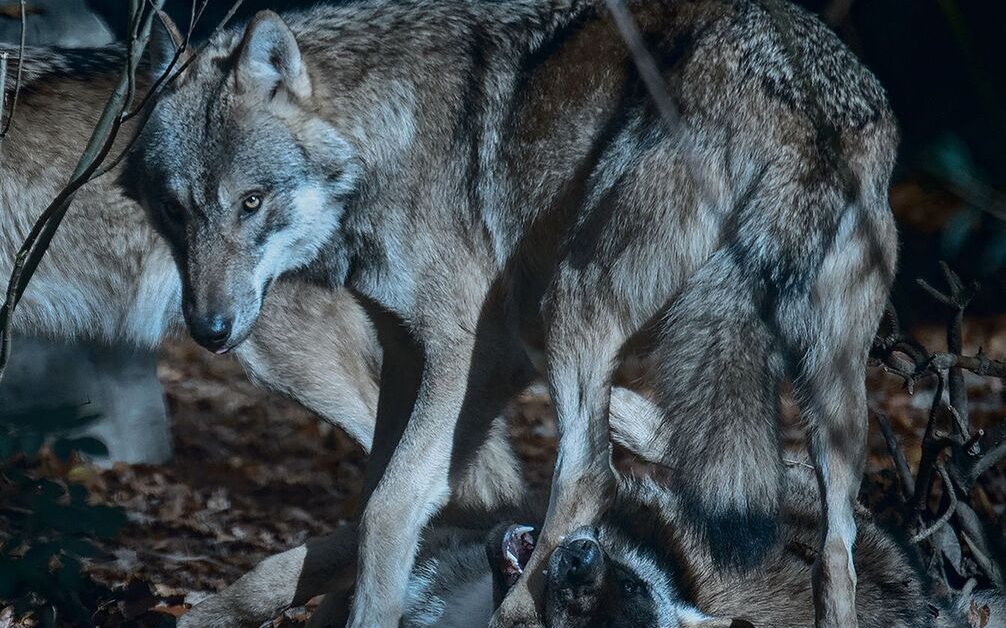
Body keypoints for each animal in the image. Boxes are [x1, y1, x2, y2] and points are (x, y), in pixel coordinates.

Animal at [124, 1, 899, 626]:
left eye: (251, 202)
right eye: (174, 209)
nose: (209, 331)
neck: (386, 137)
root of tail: (799, 92)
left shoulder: (467, 349)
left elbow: (389, 509)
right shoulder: (426, 358)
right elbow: (393, 508)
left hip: (571, 307)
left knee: (590, 476)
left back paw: (519, 612)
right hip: (832, 398)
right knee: (834, 551)